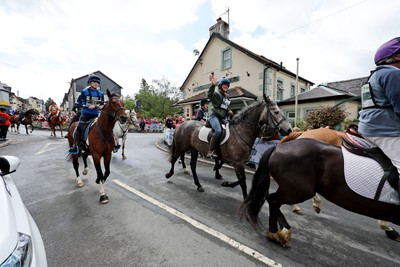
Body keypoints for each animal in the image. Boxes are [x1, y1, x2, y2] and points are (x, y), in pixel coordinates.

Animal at [164, 95, 292, 200]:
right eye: (276, 112)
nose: (289, 130)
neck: (242, 131)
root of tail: (181, 125)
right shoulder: (237, 164)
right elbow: (243, 182)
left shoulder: (238, 163)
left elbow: (241, 180)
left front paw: (226, 183)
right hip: (181, 147)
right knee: (175, 158)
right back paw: (169, 174)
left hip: (194, 149)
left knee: (193, 166)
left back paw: (198, 185)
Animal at [241, 139, 400, 248]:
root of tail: (278, 147)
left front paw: (390, 230)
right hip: (298, 190)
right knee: (273, 200)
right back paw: (278, 232)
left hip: (291, 189)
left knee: (273, 201)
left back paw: (279, 232)